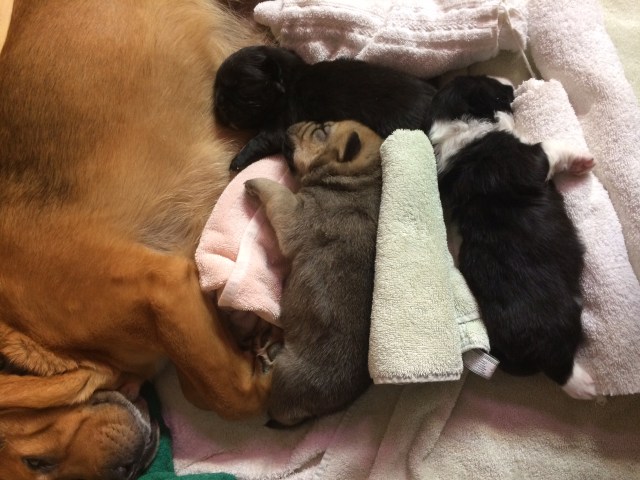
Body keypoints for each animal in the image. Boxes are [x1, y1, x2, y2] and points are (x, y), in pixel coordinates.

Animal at [213, 45, 437, 171]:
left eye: (239, 88)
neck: (290, 81)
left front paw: (237, 161)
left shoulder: (279, 126)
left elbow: (258, 141)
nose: (218, 103)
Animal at [244, 120, 382, 426]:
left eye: (322, 131)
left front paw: (254, 184)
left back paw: (266, 361)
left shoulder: (296, 210)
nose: (289, 125)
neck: (360, 177)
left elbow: (276, 192)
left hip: (287, 377)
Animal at [427, 75, 597, 400]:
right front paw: (582, 159)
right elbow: (549, 146)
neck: (464, 129)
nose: (511, 83)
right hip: (560, 323)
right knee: (560, 366)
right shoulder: (528, 160)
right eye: (494, 88)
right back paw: (587, 387)